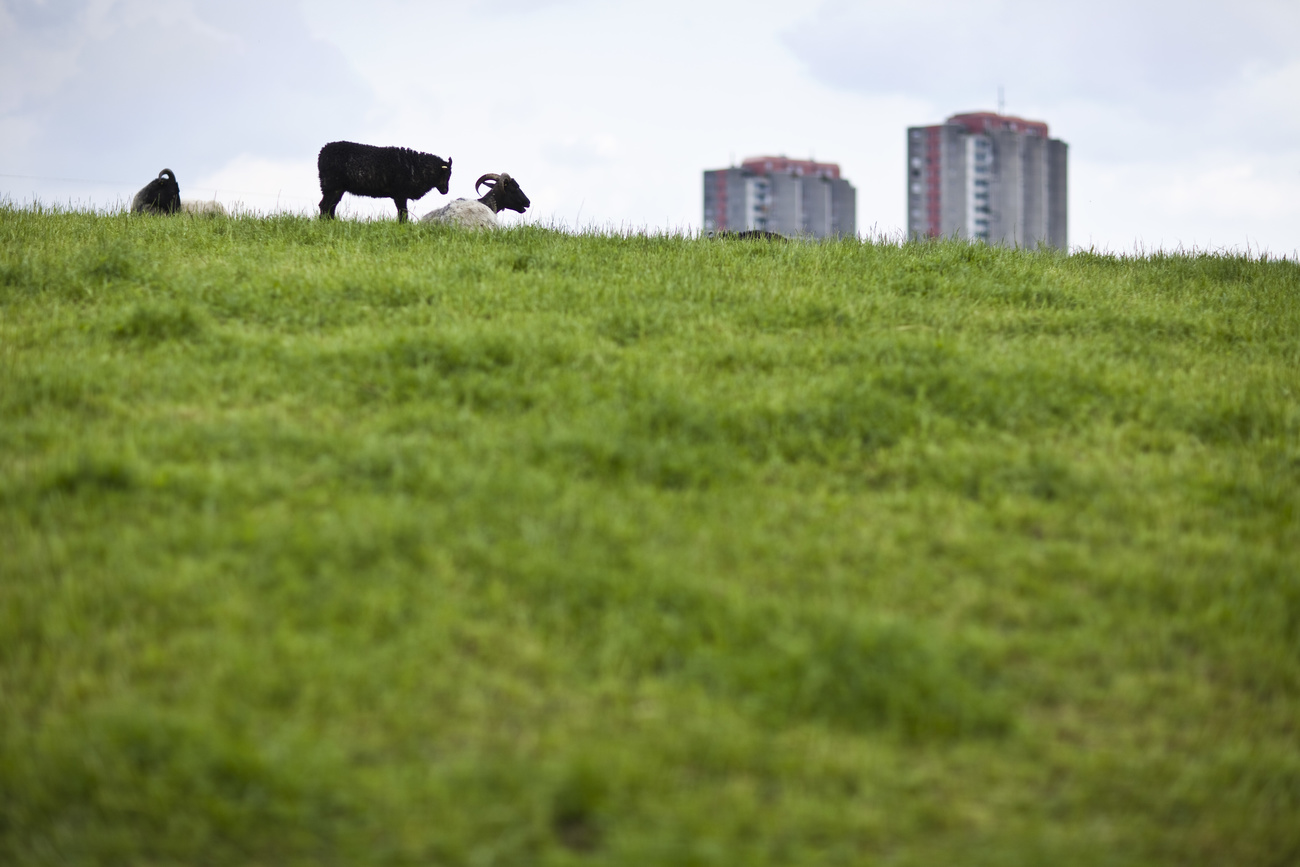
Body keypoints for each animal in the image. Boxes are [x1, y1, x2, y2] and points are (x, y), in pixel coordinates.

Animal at [317, 141, 454, 222]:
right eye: (447, 174)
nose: (445, 191)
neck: (417, 167)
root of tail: (322, 153)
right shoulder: (400, 194)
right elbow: (403, 213)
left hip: (337, 188)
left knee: (331, 206)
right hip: (331, 185)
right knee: (325, 205)